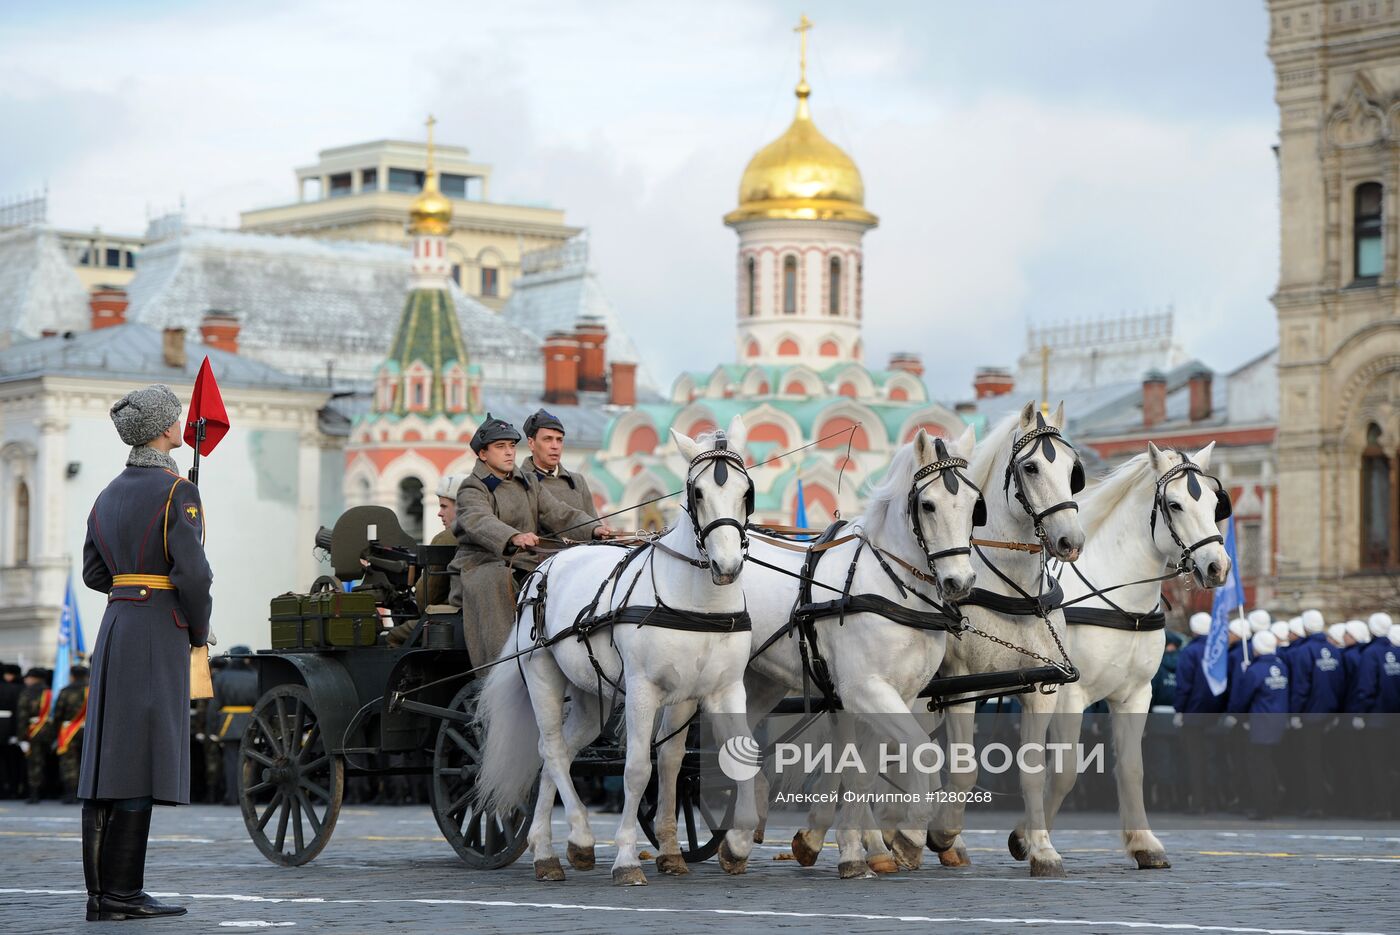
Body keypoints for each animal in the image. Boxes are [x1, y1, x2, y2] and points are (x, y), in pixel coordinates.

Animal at [473, 414, 761, 884]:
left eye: (746, 491)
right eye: (697, 492)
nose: (727, 566)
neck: (698, 603)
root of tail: (545, 565)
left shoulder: (717, 691)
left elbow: (698, 760)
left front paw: (724, 846)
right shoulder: (644, 690)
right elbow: (638, 768)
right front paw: (627, 857)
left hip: (592, 698)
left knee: (559, 752)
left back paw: (550, 846)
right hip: (542, 677)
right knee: (553, 749)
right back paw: (572, 840)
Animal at [646, 428, 985, 879]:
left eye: (974, 505)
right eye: (928, 505)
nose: (958, 582)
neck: (889, 587)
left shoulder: (894, 695)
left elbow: (863, 772)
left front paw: (857, 851)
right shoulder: (864, 690)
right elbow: (923, 752)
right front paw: (910, 837)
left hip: (758, 681)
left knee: (738, 745)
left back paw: (738, 838)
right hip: (692, 684)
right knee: (671, 755)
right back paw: (672, 848)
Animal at [929, 403, 1092, 879]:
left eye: (1074, 470)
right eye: (1031, 466)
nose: (1071, 541)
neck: (1010, 592)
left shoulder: (1041, 688)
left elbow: (1034, 772)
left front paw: (1042, 850)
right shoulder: (959, 686)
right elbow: (963, 770)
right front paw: (941, 834)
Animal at [1013, 445, 1232, 867]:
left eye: (1216, 505)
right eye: (1175, 504)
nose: (1218, 567)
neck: (1119, 601)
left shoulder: (1137, 694)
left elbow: (1132, 768)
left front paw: (1144, 843)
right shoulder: (1069, 694)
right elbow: (1063, 771)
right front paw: (1030, 840)